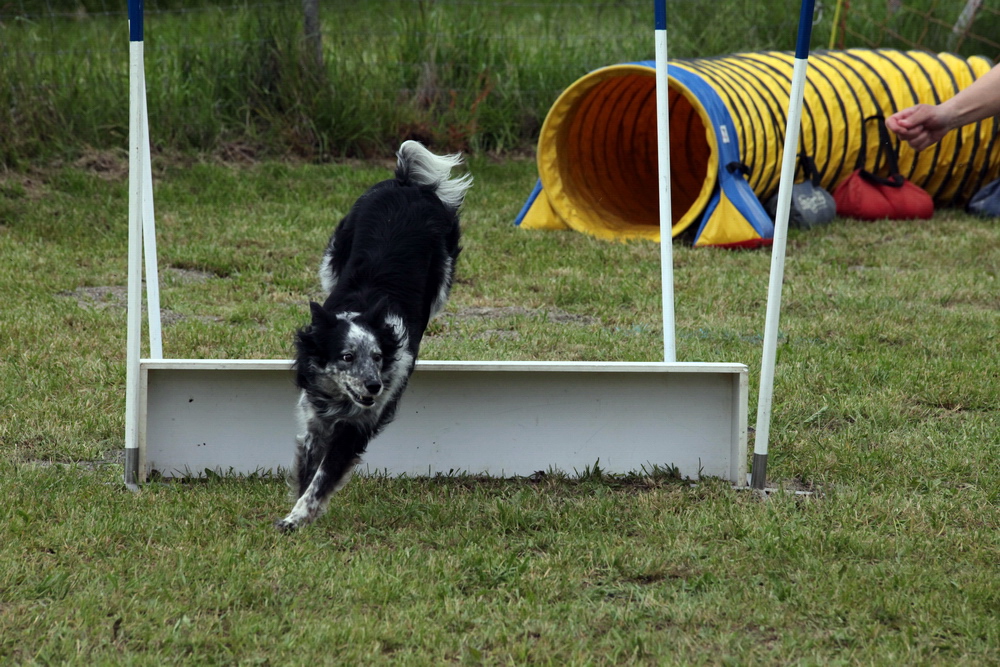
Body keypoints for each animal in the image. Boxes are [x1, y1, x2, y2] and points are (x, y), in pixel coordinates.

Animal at [275, 140, 471, 532]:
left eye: (378, 358)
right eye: (346, 357)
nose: (374, 386)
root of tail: (405, 182)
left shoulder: (357, 427)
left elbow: (322, 478)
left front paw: (298, 517)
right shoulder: (314, 420)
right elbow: (308, 471)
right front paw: (299, 515)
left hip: (442, 278)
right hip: (333, 257)